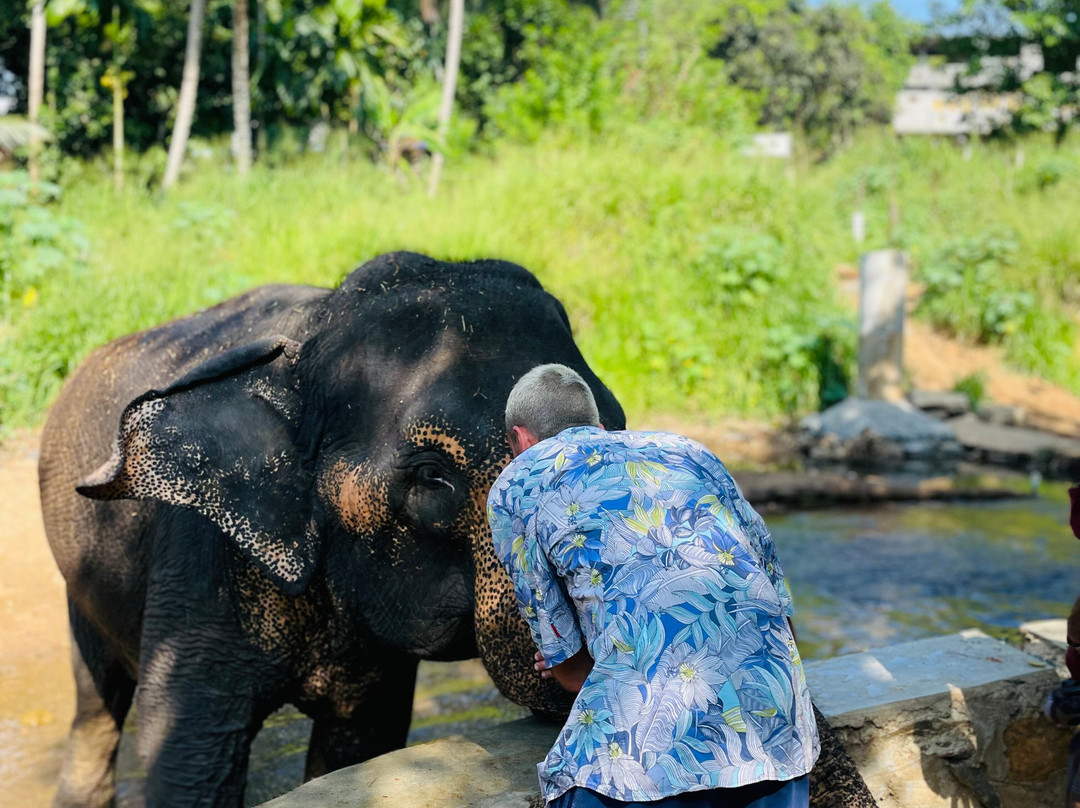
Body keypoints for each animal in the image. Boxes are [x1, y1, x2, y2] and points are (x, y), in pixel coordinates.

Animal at [39, 251, 877, 807]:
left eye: (622, 424)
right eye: (432, 483)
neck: (311, 334)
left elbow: (360, 743)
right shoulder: (201, 560)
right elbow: (185, 755)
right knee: (95, 711)